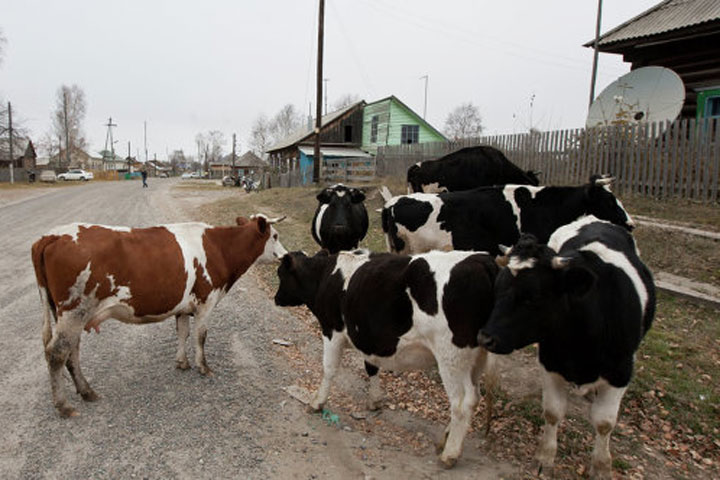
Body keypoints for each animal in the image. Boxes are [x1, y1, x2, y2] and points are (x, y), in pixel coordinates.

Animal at [32, 214, 286, 416]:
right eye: (274, 235)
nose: (285, 256)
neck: (220, 248)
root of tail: (51, 235)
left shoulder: (184, 307)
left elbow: (183, 332)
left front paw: (182, 362)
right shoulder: (206, 301)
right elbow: (200, 336)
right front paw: (203, 367)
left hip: (68, 315)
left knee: (72, 351)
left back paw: (86, 391)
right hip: (74, 311)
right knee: (57, 353)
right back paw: (64, 405)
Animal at [276, 249, 500, 466]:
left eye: (281, 274)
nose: (276, 298)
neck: (326, 275)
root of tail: (482, 260)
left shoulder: (332, 330)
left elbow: (329, 369)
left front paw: (317, 402)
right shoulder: (367, 337)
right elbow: (371, 367)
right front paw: (375, 400)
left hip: (451, 357)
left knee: (461, 402)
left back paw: (450, 454)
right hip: (474, 360)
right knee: (474, 397)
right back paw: (446, 438)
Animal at [480, 218, 656, 480]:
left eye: (532, 296)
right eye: (497, 288)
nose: (485, 338)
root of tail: (593, 219)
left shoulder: (621, 372)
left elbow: (604, 423)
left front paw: (601, 467)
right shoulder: (550, 362)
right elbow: (553, 412)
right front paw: (545, 458)